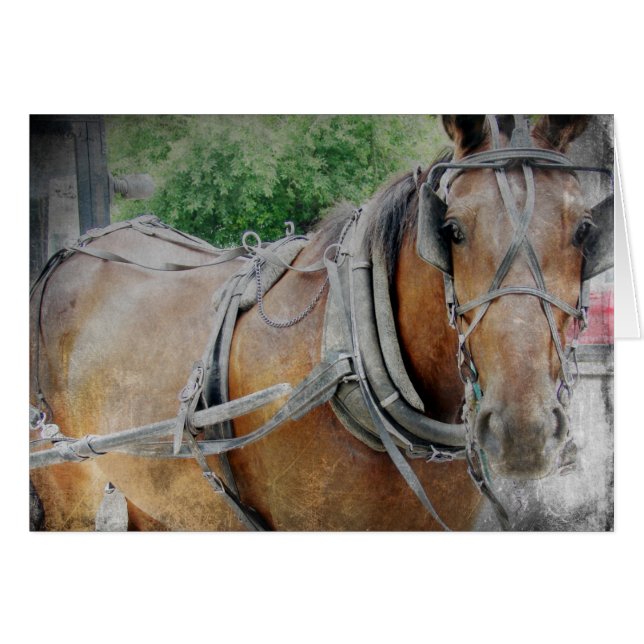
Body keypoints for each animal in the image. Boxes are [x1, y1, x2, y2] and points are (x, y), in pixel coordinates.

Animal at [29, 115, 613, 531]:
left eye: (585, 230)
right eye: (451, 230)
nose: (524, 432)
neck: (351, 352)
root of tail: (73, 249)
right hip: (65, 475)